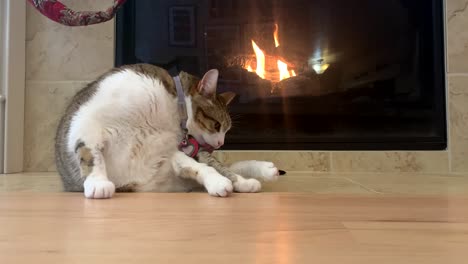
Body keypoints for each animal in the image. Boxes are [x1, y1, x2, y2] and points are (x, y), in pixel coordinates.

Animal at [56, 63, 280, 198]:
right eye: (217, 126)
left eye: (226, 130)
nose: (220, 143)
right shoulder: (86, 123)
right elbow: (92, 155)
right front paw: (98, 183)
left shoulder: (169, 155)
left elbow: (205, 167)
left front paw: (221, 181)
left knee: (228, 166)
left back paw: (262, 171)